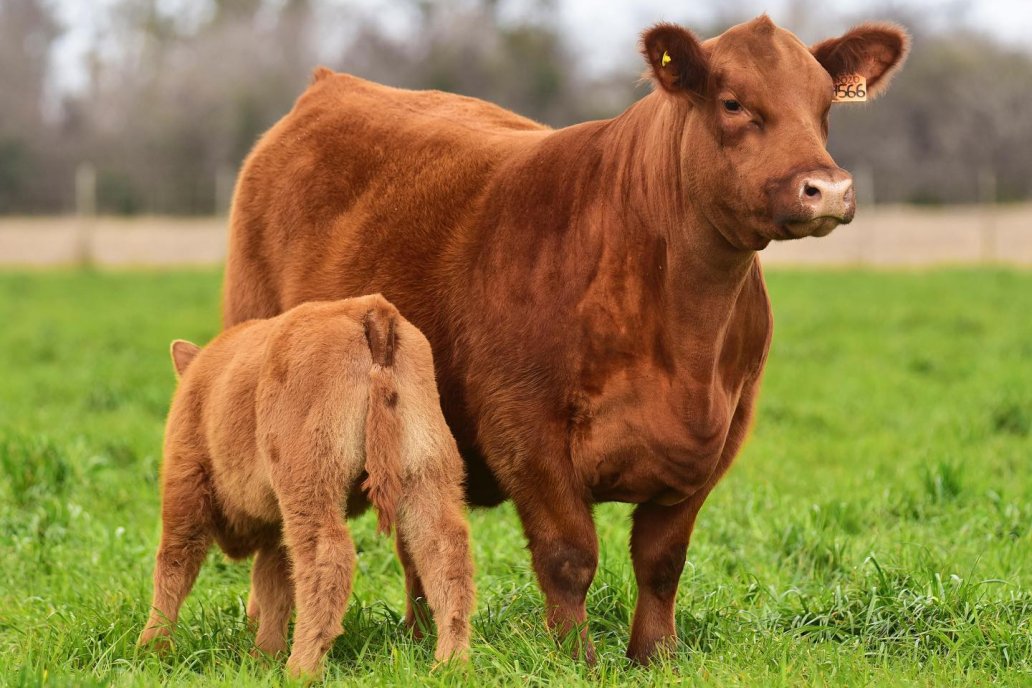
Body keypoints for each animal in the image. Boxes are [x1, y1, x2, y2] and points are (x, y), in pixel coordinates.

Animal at [138, 295, 474, 676]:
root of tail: (370, 309)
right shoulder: (274, 526)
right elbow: (273, 584)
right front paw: (264, 654)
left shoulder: (185, 482)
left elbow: (174, 566)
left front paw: (151, 649)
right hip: (425, 475)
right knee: (445, 552)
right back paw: (450, 663)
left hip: (310, 485)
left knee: (326, 558)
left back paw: (300, 669)